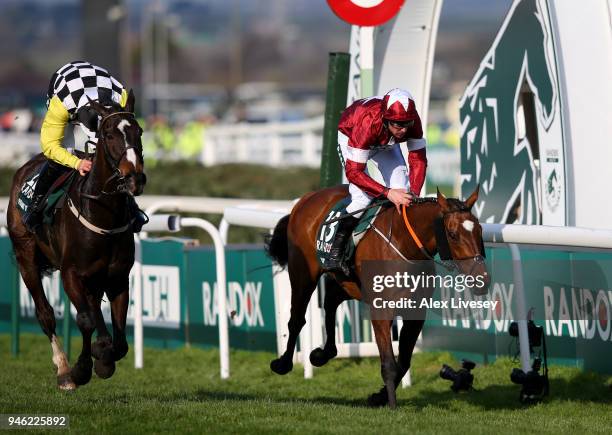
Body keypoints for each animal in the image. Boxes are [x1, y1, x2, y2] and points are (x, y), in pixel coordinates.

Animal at [6, 93, 145, 392]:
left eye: (139, 131)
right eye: (108, 134)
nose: (134, 178)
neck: (103, 213)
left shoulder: (117, 278)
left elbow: (119, 340)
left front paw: (103, 359)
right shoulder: (71, 273)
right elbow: (85, 320)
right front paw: (81, 369)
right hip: (26, 257)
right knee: (46, 314)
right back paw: (63, 369)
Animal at [266, 185, 490, 408]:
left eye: (480, 230)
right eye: (452, 234)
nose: (482, 279)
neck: (403, 243)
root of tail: (307, 197)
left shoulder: (416, 313)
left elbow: (403, 363)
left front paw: (379, 397)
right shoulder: (381, 310)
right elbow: (390, 363)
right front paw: (392, 405)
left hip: (349, 283)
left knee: (330, 301)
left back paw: (323, 354)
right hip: (303, 274)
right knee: (297, 319)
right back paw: (282, 363)